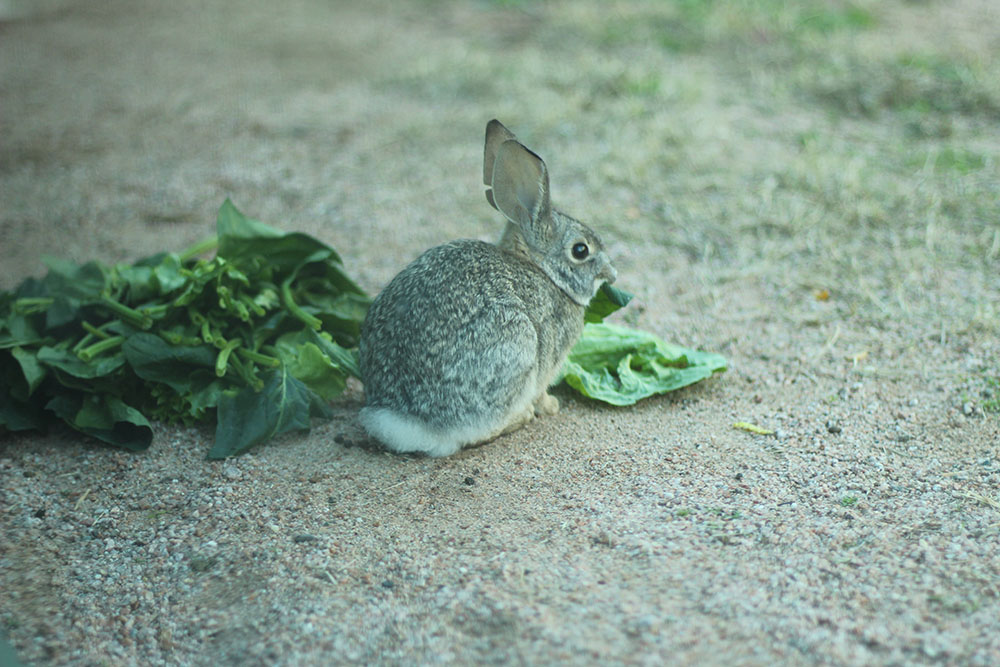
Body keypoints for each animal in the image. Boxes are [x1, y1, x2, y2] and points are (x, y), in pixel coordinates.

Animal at [356, 120, 612, 456]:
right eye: (580, 250)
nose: (611, 272)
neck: (540, 269)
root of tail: (406, 419)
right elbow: (542, 393)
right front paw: (552, 406)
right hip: (517, 348)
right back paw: (520, 418)